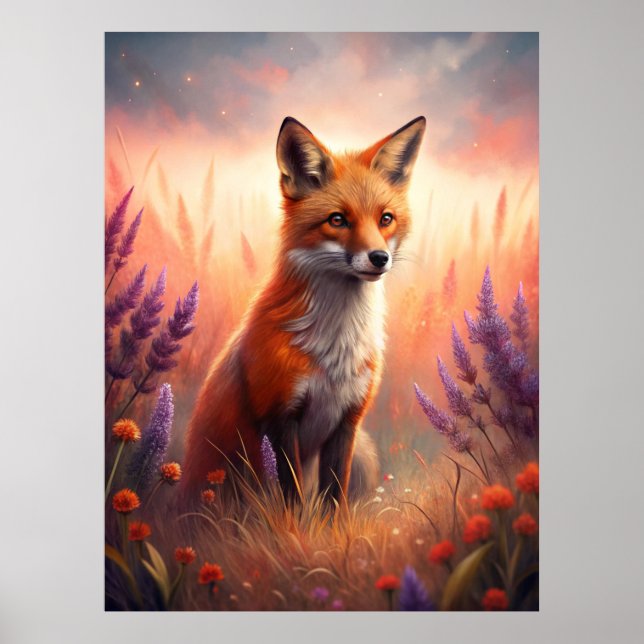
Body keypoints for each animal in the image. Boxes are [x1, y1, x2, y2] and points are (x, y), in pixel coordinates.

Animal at [182, 115, 426, 504]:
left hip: (364, 452)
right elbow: (292, 497)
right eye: (337, 220)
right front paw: (295, 523)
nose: (379, 258)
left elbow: (333, 498)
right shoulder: (279, 417)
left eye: (385, 219)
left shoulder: (347, 421)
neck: (336, 350)